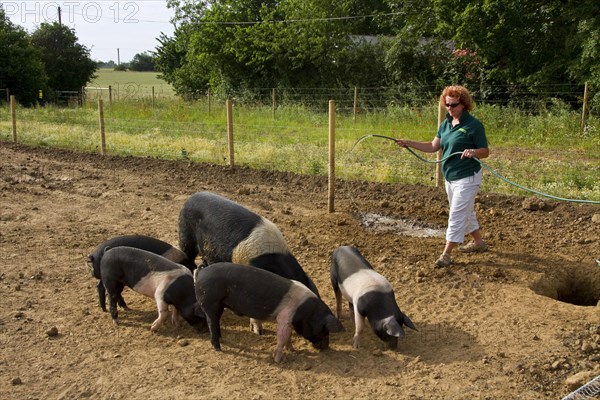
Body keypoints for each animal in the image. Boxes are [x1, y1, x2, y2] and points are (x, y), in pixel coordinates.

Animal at [195, 262, 340, 362]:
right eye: (324, 329)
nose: (326, 347)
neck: (305, 311)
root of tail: (201, 272)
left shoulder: (288, 321)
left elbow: (287, 337)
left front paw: (293, 350)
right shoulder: (284, 318)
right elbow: (282, 337)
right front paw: (279, 360)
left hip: (219, 304)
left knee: (216, 322)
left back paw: (221, 339)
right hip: (210, 302)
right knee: (211, 323)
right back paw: (218, 348)